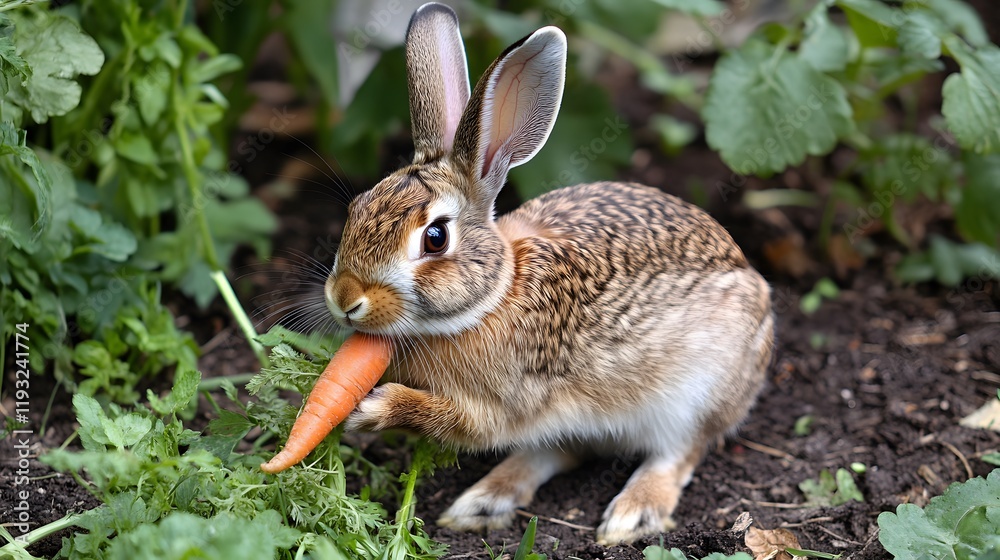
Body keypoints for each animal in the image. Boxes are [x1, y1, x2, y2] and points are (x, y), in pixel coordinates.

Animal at [326, 2, 775, 545]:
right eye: (355, 208)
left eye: (434, 238)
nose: (345, 299)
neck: (494, 297)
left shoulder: (504, 404)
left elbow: (459, 421)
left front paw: (373, 410)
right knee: (558, 450)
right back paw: (484, 501)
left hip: (698, 392)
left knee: (678, 452)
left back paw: (632, 513)